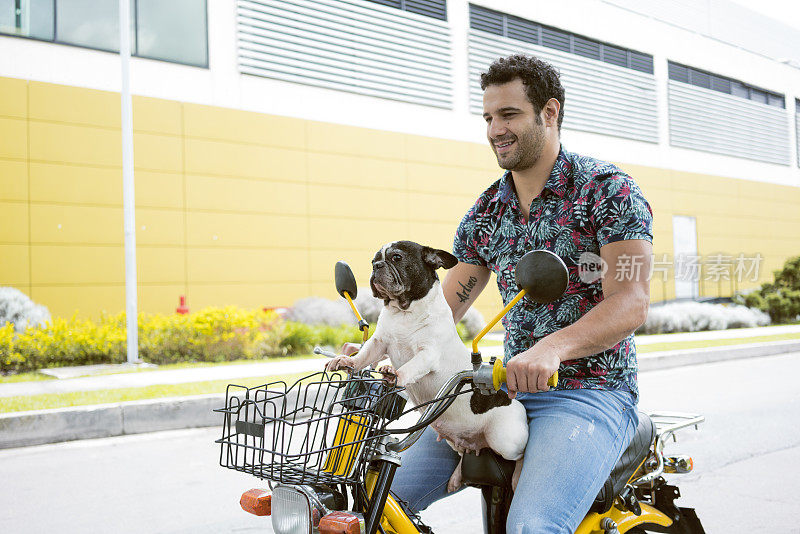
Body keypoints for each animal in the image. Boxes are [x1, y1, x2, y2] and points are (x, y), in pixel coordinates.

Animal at [324, 241, 532, 492]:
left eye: (396, 258)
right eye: (374, 260)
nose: (376, 266)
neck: (404, 311)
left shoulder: (427, 354)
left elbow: (410, 367)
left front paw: (395, 373)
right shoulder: (379, 342)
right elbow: (364, 355)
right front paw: (347, 361)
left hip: (505, 440)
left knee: (520, 456)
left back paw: (518, 474)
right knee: (463, 452)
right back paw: (457, 475)